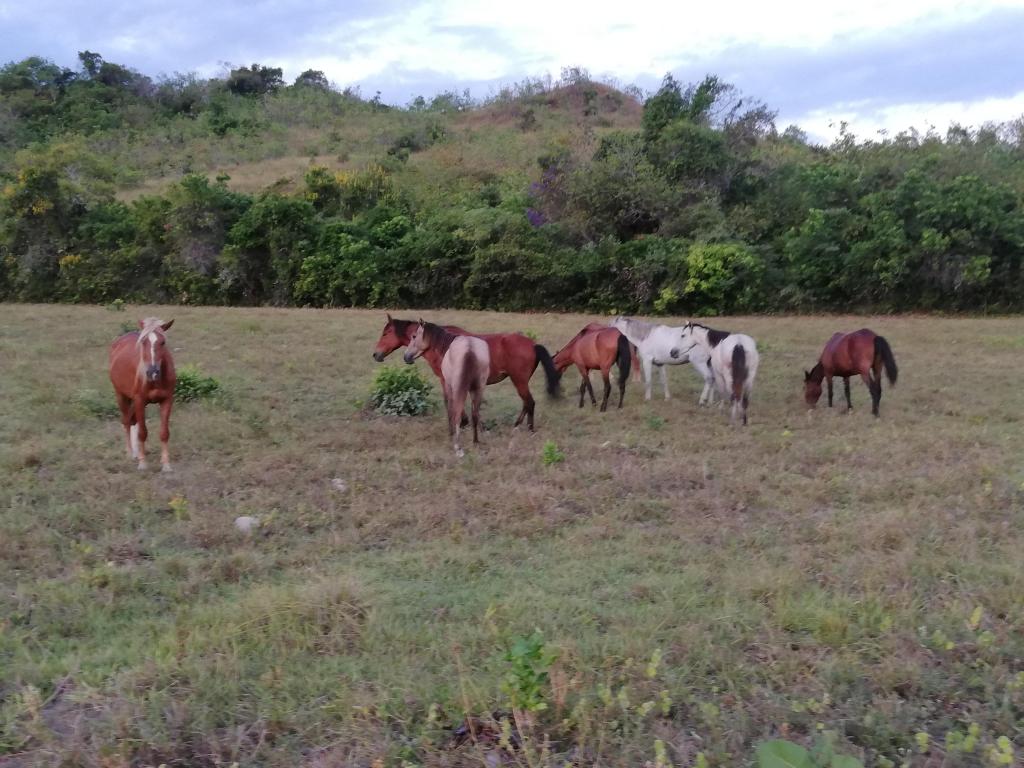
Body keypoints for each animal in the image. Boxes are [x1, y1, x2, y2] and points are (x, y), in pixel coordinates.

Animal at [109, 317, 176, 468]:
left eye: (162, 342)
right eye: (143, 342)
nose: (152, 372)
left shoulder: (167, 400)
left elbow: (164, 433)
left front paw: (166, 464)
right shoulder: (139, 400)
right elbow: (142, 433)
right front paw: (143, 463)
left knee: (133, 421)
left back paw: (136, 452)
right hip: (121, 396)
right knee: (126, 421)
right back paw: (130, 452)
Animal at [370, 313, 561, 434]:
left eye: (386, 333)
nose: (375, 354)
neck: (443, 345)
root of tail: (533, 344)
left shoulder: (447, 379)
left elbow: (451, 401)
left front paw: (461, 423)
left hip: (519, 380)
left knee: (529, 403)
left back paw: (527, 428)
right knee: (526, 403)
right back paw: (517, 426)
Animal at [401, 319, 489, 456]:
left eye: (414, 336)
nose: (406, 357)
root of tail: (470, 349)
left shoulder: (447, 384)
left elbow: (449, 406)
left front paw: (451, 432)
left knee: (457, 413)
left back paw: (458, 446)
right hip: (479, 388)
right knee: (475, 415)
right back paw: (475, 442)